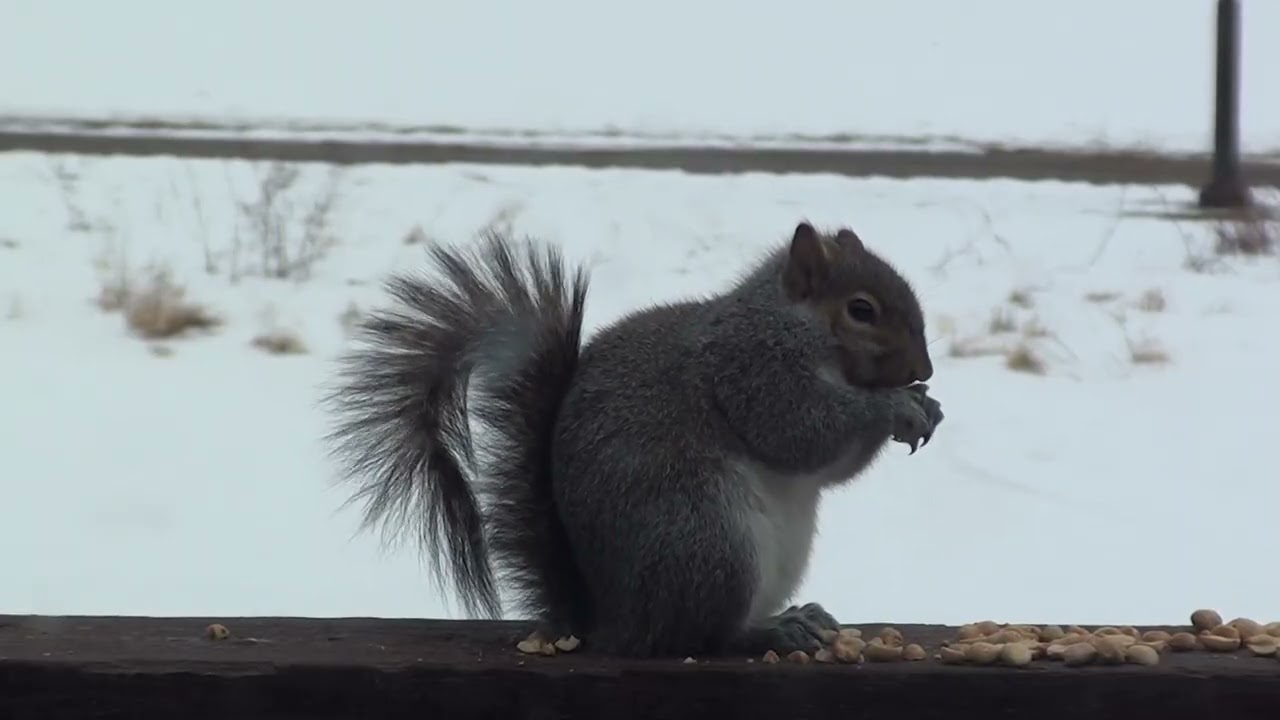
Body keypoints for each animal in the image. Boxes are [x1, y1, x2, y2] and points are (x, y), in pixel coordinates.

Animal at [323, 220, 943, 659]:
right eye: (861, 310)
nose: (926, 369)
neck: (793, 326)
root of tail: (612, 622)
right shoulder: (750, 370)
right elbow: (799, 433)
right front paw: (894, 406)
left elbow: (827, 468)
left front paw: (925, 407)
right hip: (707, 540)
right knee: (701, 636)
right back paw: (771, 631)